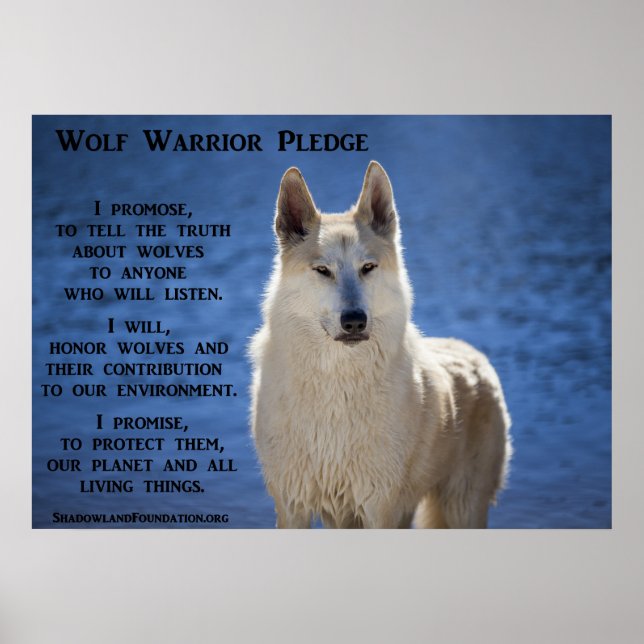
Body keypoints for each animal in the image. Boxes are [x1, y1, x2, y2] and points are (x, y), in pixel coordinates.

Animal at [250, 161, 511, 528]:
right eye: (322, 270)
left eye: (368, 268)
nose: (354, 321)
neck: (336, 388)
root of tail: (471, 352)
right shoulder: (292, 507)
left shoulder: (379, 508)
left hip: (462, 508)